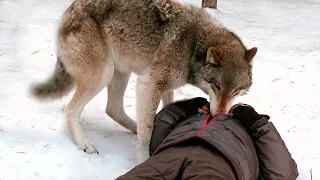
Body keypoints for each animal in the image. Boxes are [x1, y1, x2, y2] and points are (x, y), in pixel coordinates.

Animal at [30, 0, 258, 163]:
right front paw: (143, 159)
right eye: (217, 87)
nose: (219, 115)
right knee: (71, 110)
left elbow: (167, 109)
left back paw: (133, 126)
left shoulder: (166, 87)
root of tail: (68, 12)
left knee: (113, 109)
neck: (194, 47)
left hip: (120, 72)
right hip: (104, 74)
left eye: (236, 92)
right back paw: (84, 143)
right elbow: (147, 133)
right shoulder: (150, 85)